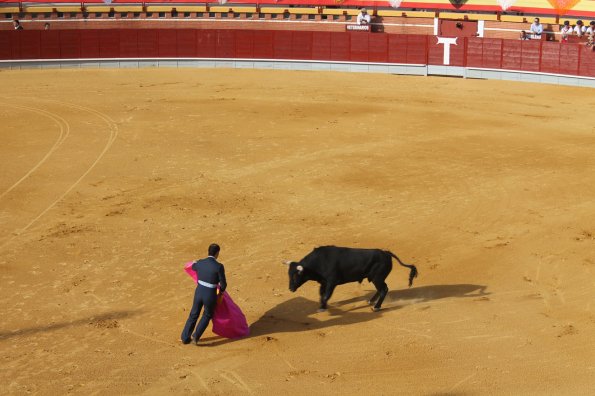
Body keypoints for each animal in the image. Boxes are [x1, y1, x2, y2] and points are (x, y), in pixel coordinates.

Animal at [286, 244, 420, 312]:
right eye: (288, 274)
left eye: (296, 275)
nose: (290, 289)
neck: (318, 262)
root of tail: (386, 253)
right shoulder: (323, 282)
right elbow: (322, 294)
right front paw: (322, 305)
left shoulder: (332, 281)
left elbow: (326, 295)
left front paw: (322, 308)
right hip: (376, 278)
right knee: (382, 288)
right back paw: (371, 301)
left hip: (377, 278)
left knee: (384, 289)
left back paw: (376, 307)